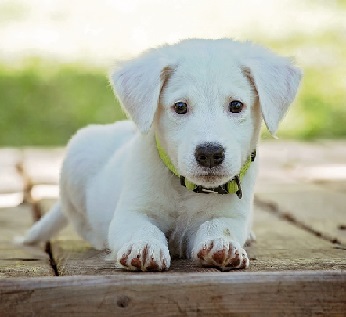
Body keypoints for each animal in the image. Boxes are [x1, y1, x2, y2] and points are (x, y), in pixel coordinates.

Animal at [21, 39, 302, 270]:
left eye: (236, 105)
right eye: (180, 107)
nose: (210, 153)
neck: (185, 188)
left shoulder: (231, 215)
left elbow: (219, 226)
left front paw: (222, 244)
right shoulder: (131, 211)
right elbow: (141, 227)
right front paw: (144, 246)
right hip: (77, 159)